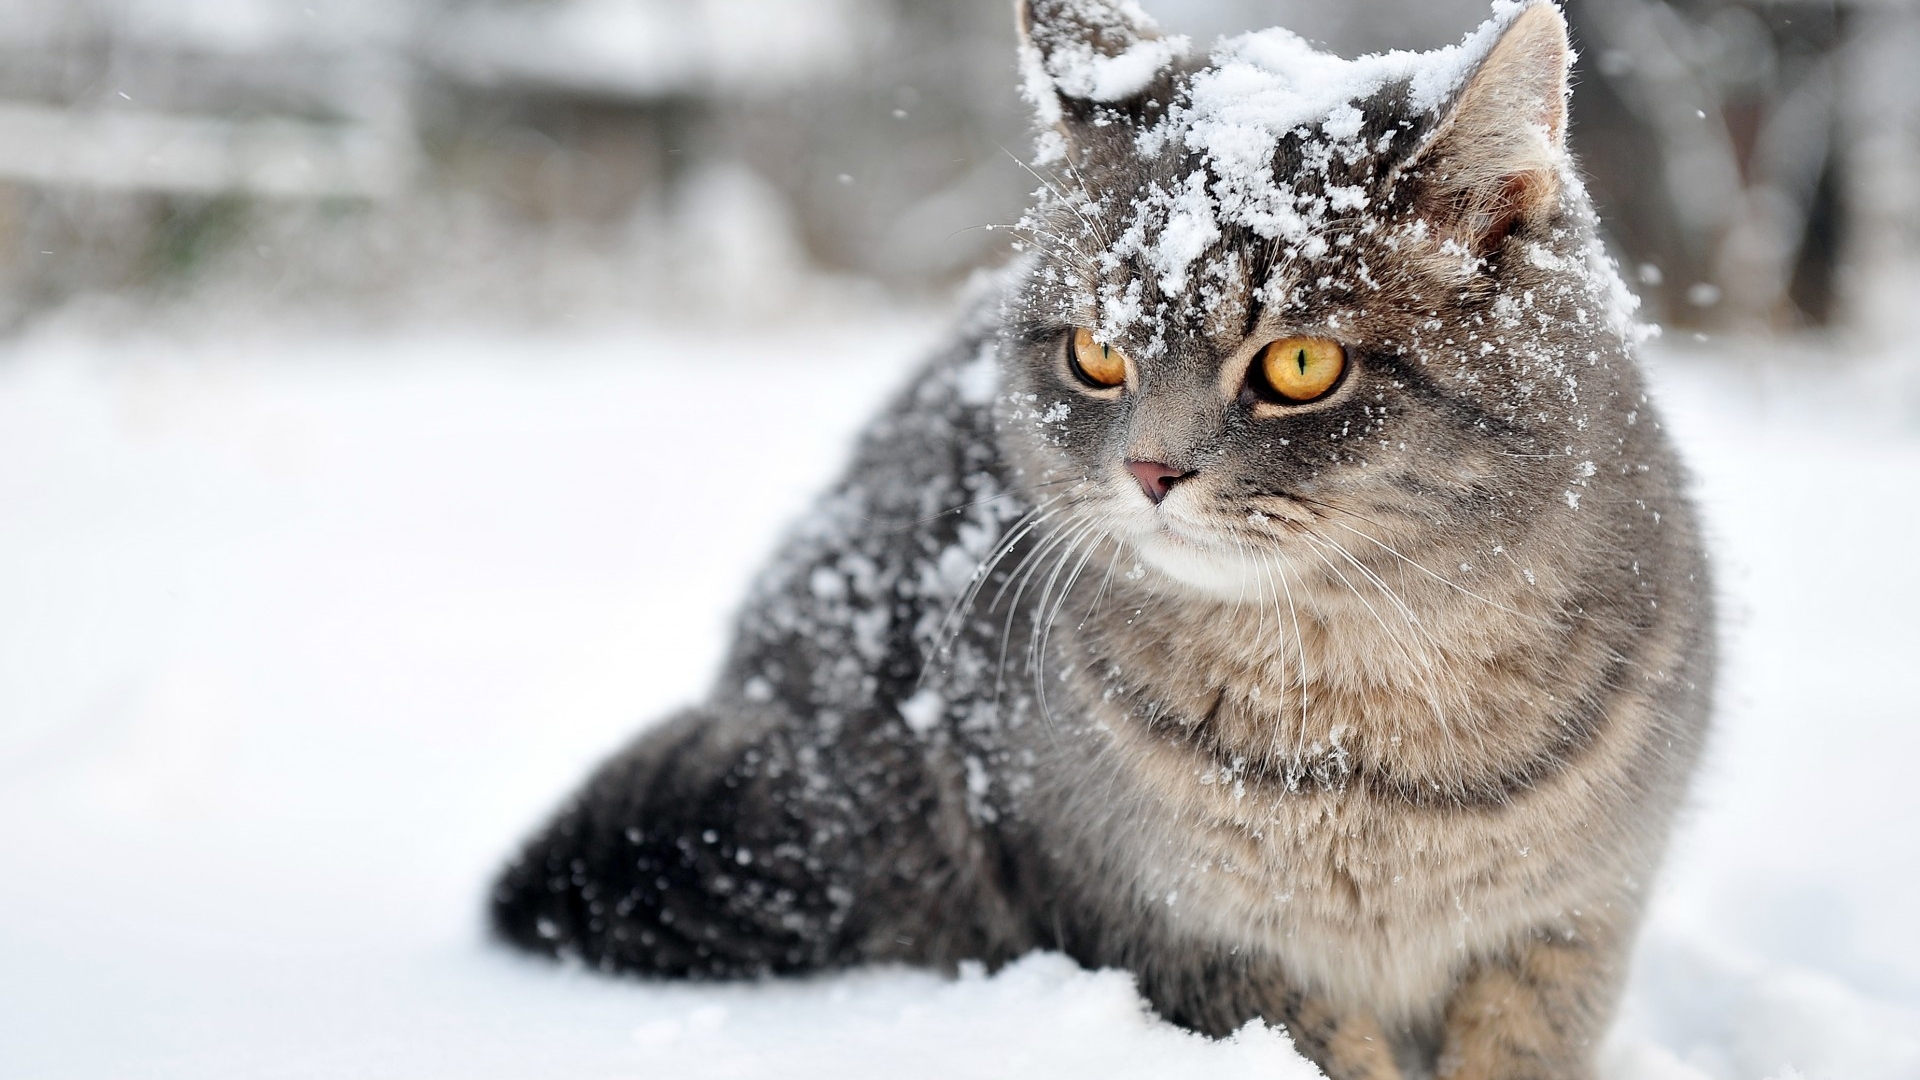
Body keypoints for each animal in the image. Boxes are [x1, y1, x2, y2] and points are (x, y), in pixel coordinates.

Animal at [487, 4, 1720, 1068]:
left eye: (1301, 363)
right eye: (1096, 353)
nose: (1150, 470)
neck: (1363, 730)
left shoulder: (1570, 927)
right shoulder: (1181, 933)